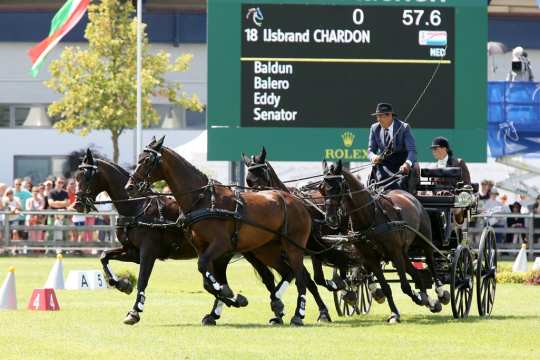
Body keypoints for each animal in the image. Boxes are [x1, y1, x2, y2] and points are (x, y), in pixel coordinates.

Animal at [73, 149, 292, 326]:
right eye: (76, 176)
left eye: (87, 176)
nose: (77, 204)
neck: (138, 207)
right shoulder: (132, 252)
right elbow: (104, 256)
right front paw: (122, 284)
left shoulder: (148, 252)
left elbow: (143, 279)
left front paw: (134, 312)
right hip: (230, 254)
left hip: (254, 251)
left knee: (274, 275)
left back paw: (275, 309)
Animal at [125, 137, 316, 326]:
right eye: (138, 159)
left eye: (147, 160)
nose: (129, 187)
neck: (202, 200)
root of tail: (296, 200)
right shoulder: (202, 248)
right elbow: (207, 281)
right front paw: (229, 301)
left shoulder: (221, 245)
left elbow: (204, 268)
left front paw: (230, 296)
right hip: (267, 249)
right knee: (287, 272)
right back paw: (277, 304)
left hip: (293, 248)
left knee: (301, 278)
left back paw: (297, 315)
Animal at [240, 146, 384, 304]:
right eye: (248, 181)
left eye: (264, 175)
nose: (261, 201)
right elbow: (309, 279)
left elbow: (314, 278)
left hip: (345, 233)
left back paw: (363, 285)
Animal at [318, 160, 450, 324]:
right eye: (322, 189)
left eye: (338, 187)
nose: (330, 219)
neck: (370, 217)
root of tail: (411, 196)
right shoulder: (371, 258)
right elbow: (386, 287)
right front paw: (396, 312)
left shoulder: (394, 252)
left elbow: (405, 286)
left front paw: (415, 301)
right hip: (403, 251)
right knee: (416, 274)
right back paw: (428, 299)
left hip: (423, 242)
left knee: (431, 264)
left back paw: (440, 294)